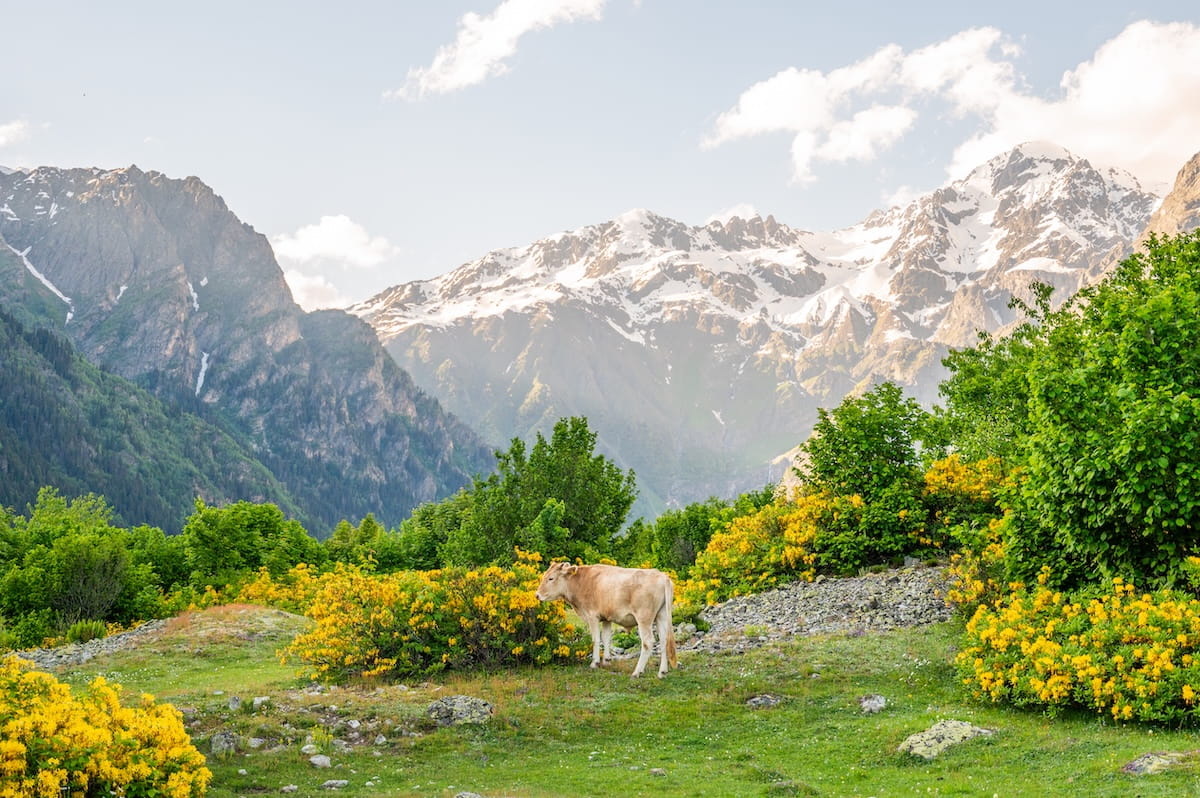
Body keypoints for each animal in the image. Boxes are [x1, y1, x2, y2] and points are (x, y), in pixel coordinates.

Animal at [535, 561, 678, 678]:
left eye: (551, 578)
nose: (537, 595)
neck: (581, 583)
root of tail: (662, 576)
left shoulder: (592, 616)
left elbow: (596, 639)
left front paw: (595, 663)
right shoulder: (606, 617)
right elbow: (606, 637)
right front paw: (606, 661)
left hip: (644, 618)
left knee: (648, 642)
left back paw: (637, 672)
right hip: (661, 615)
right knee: (664, 640)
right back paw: (662, 672)